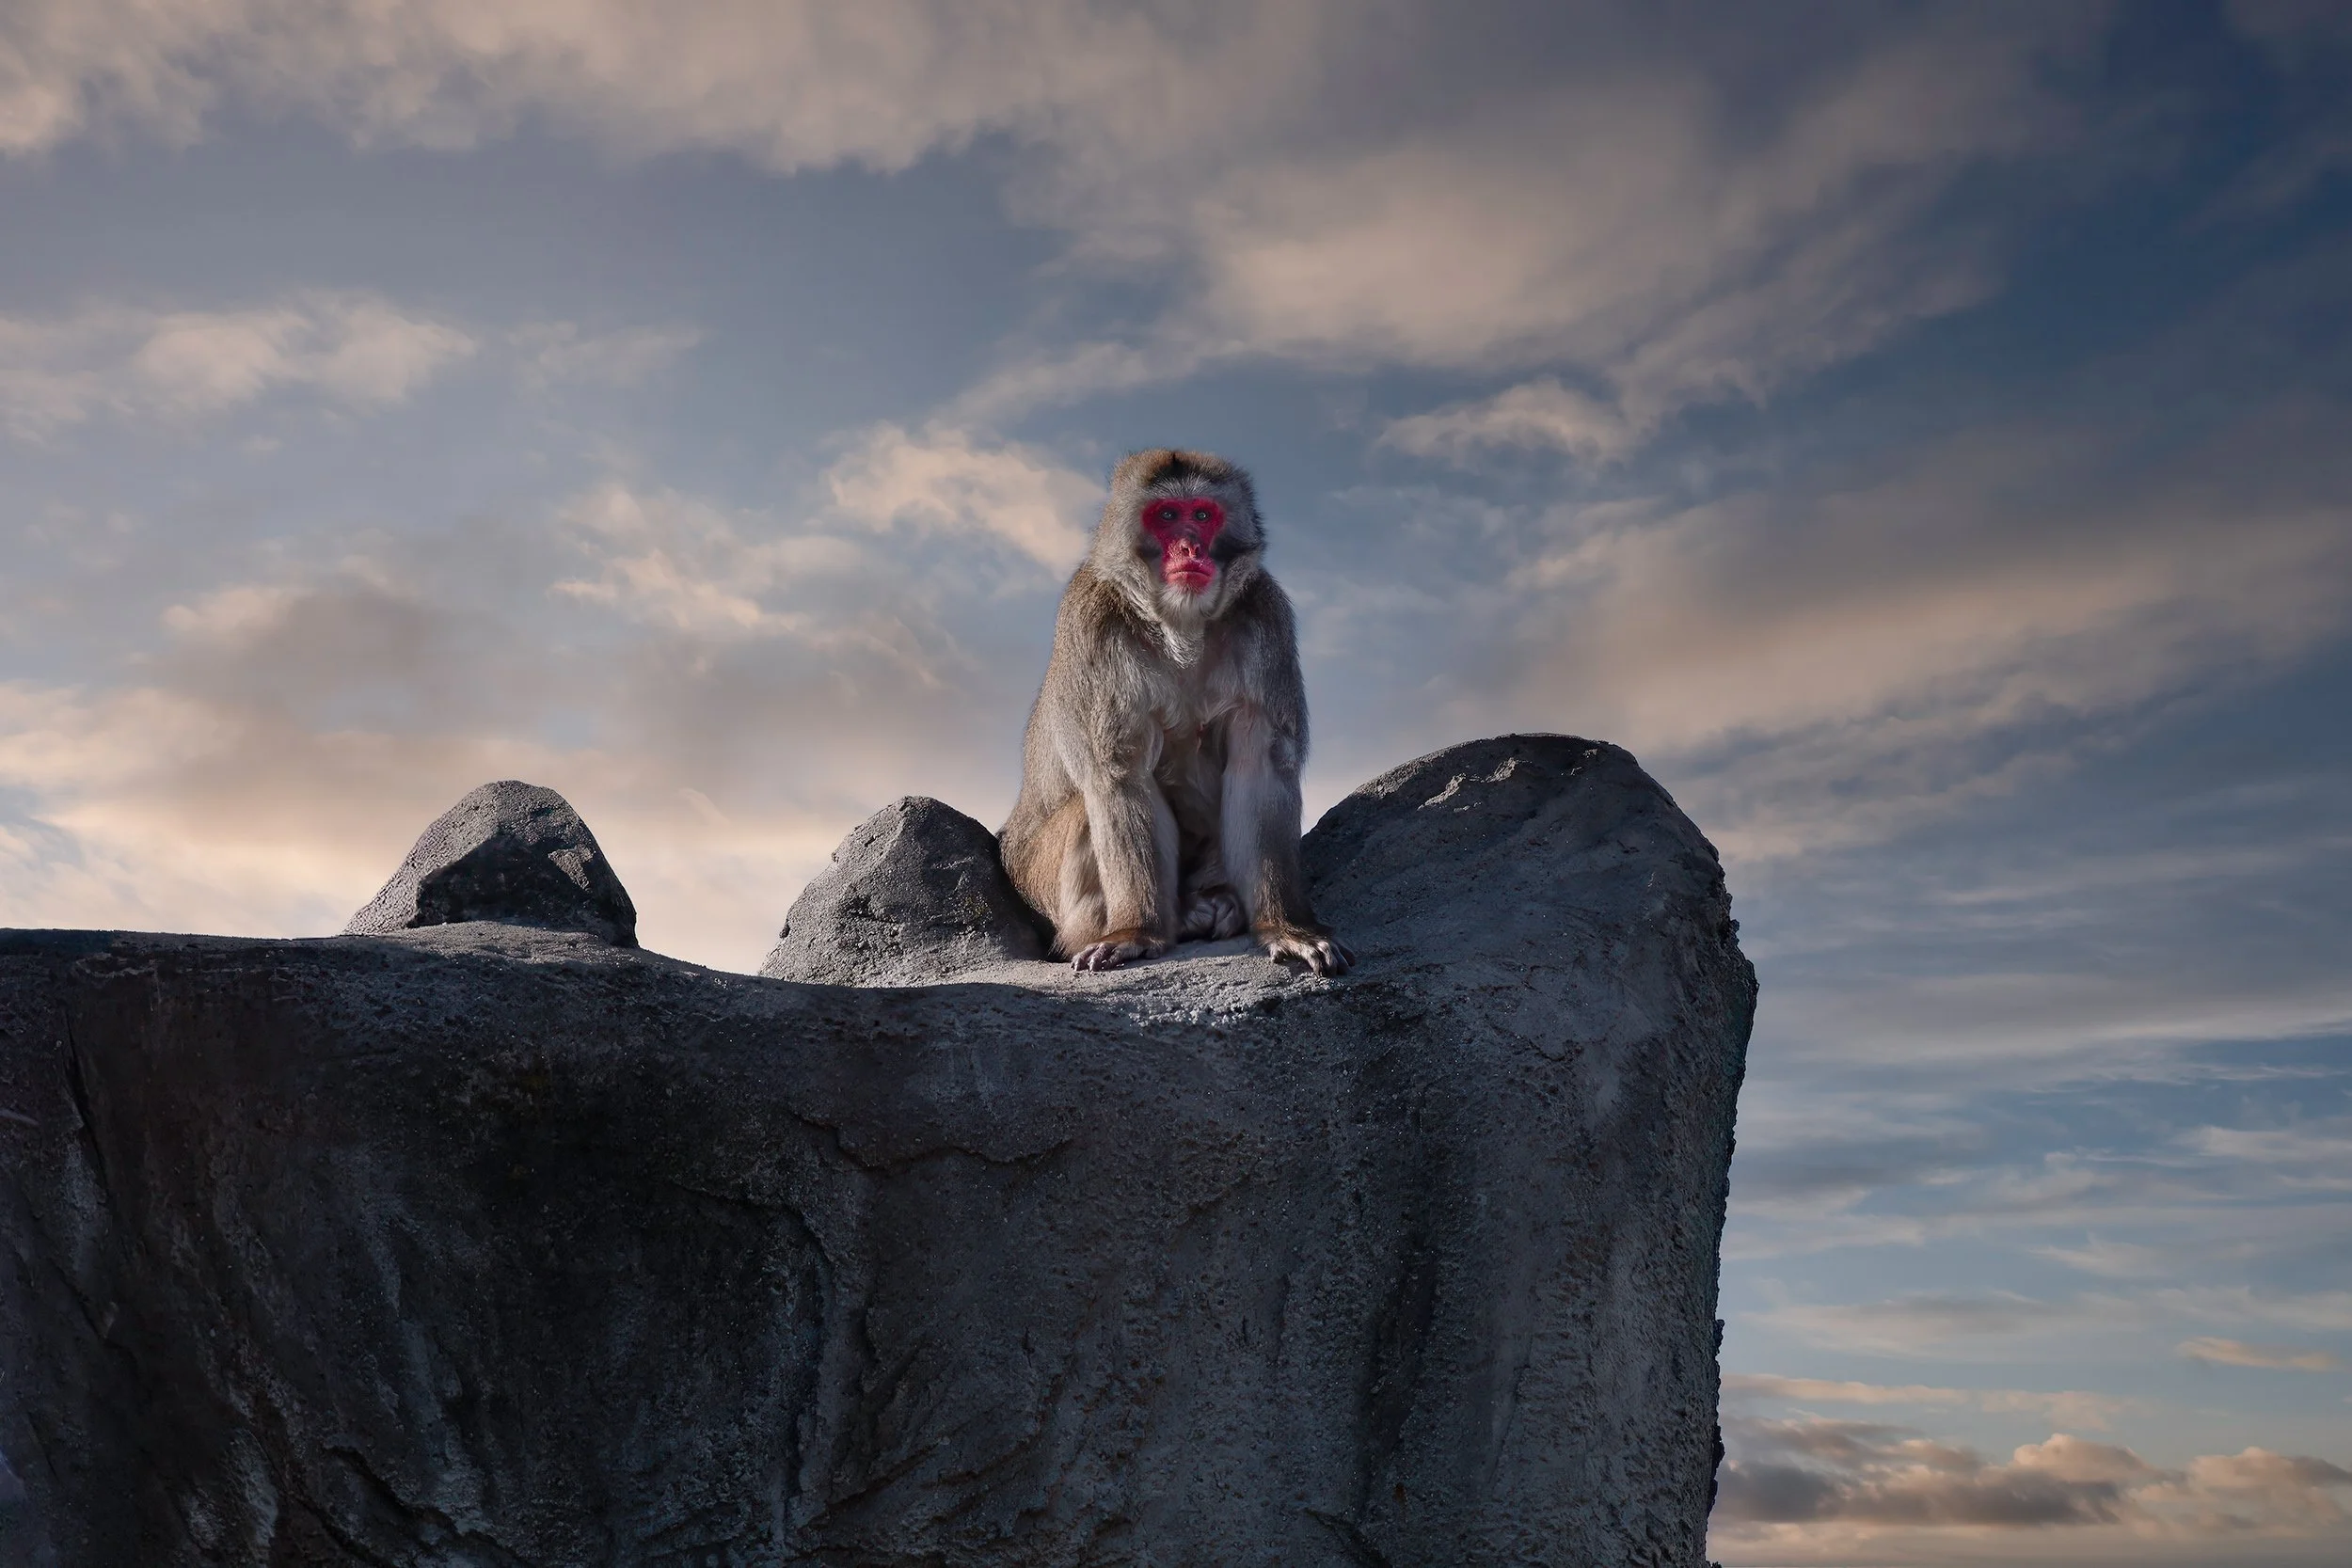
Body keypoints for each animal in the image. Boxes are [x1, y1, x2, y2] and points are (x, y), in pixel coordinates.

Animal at [1000, 448, 1352, 976]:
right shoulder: (1092, 621)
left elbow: (1261, 767)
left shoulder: (1266, 617)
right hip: (1039, 882)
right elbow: (1118, 774)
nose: (1189, 550)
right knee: (1085, 815)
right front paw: (1136, 932)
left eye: (1202, 516)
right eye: (1166, 516)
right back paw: (1177, 917)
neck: (1180, 623)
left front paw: (1286, 926)